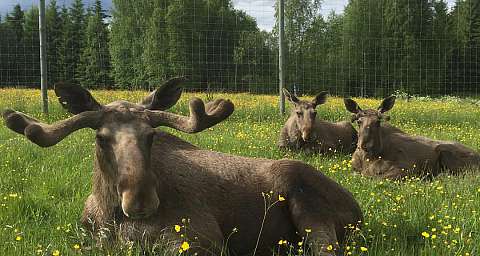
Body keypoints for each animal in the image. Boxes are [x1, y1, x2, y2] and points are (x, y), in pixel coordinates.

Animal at [2, 78, 364, 256]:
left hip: (307, 203)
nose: (140, 201)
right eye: (101, 138)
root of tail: (358, 209)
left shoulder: (202, 239)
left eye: (151, 136)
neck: (110, 214)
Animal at [344, 96, 478, 180]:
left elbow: (376, 177)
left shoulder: (407, 168)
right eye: (359, 121)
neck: (368, 157)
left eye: (378, 122)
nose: (365, 145)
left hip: (447, 153)